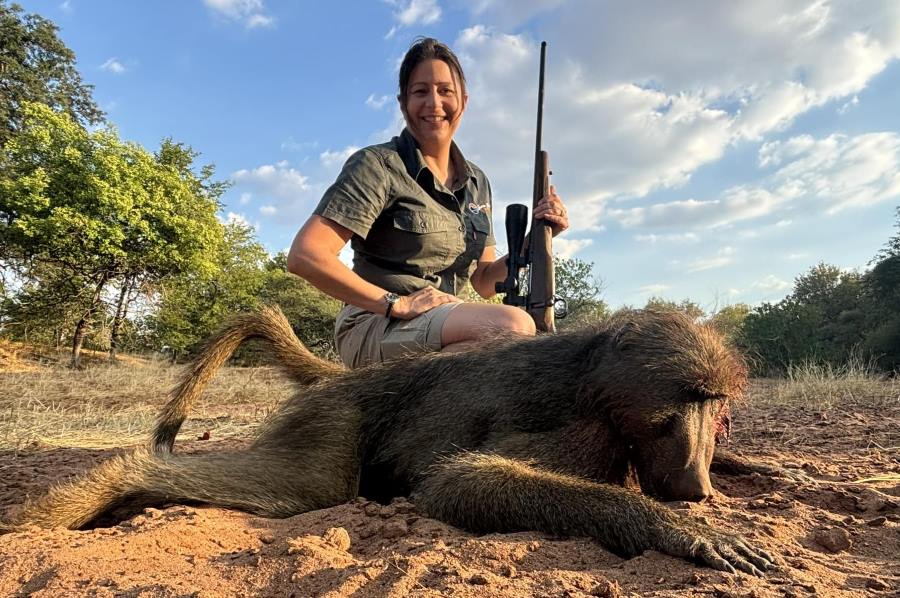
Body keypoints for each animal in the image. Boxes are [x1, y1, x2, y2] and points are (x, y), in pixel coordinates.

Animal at [3, 306, 775, 576]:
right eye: (680, 404)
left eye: (716, 407)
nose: (695, 486)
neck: (596, 375)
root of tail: (354, 378)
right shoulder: (578, 433)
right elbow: (459, 481)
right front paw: (684, 532)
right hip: (333, 424)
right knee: (304, 488)